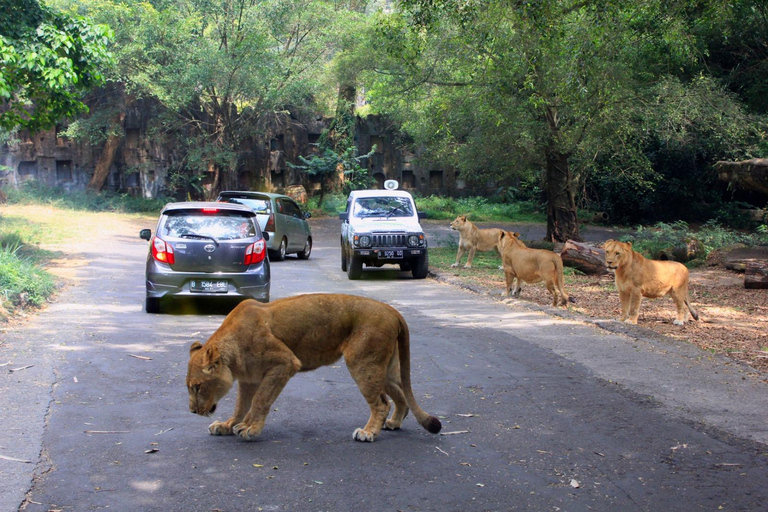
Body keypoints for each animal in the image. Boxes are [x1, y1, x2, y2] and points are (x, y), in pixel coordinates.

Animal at [184, 294, 444, 442]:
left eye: (197, 387)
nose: (192, 412)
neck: (232, 354)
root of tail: (393, 310)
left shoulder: (285, 362)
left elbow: (260, 400)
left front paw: (250, 429)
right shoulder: (249, 379)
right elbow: (241, 405)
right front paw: (228, 425)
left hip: (362, 363)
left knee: (381, 403)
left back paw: (369, 432)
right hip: (384, 368)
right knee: (401, 396)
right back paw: (393, 423)